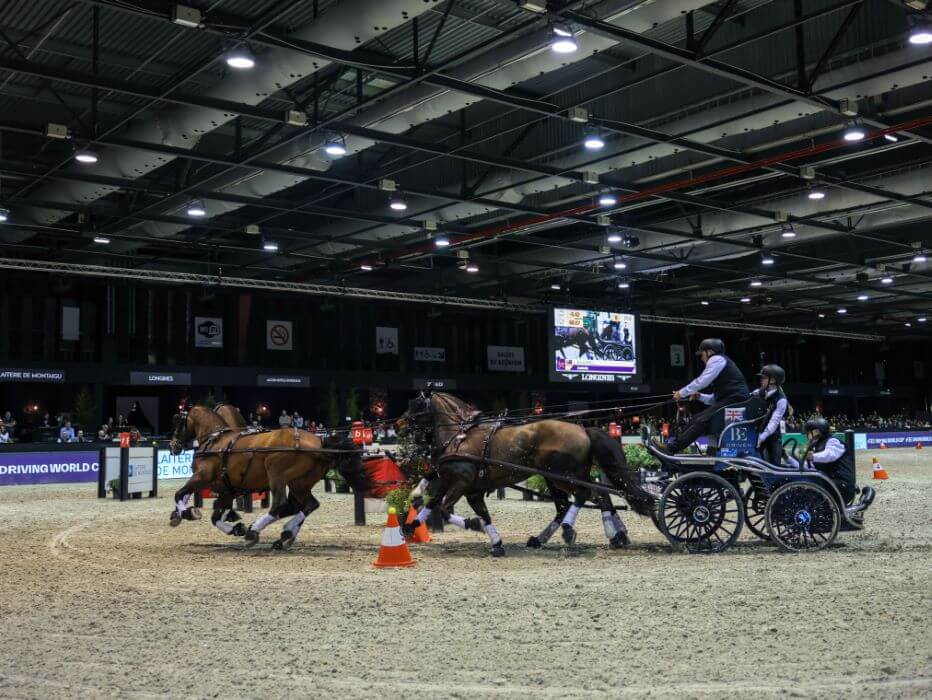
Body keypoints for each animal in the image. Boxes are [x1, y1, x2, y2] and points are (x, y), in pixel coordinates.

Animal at [169, 408, 370, 548]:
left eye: (178, 422)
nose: (173, 446)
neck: (216, 442)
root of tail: (319, 442)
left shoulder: (202, 477)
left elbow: (180, 494)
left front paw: (187, 513)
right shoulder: (226, 490)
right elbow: (215, 516)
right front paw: (236, 528)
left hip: (277, 475)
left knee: (280, 505)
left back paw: (256, 531)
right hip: (299, 483)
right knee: (306, 505)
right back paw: (285, 535)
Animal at [400, 392, 656, 556]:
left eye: (416, 405)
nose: (400, 424)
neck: (459, 438)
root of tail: (583, 428)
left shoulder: (461, 484)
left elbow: (444, 510)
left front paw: (474, 525)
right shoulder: (467, 489)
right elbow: (441, 505)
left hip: (563, 476)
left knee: (585, 495)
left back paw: (572, 530)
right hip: (560, 477)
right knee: (588, 499)